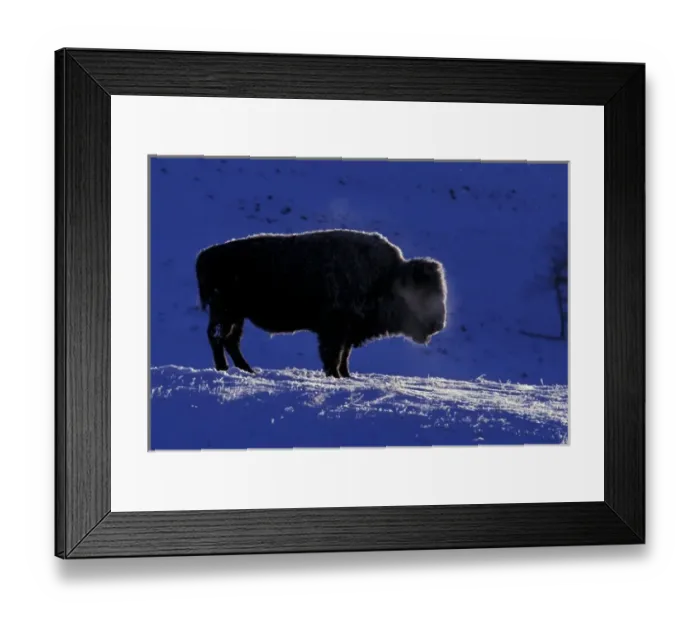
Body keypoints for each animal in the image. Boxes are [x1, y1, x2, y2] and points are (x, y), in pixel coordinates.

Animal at [195, 229, 447, 378]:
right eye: (423, 295)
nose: (438, 324)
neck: (386, 277)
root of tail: (205, 256)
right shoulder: (334, 329)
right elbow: (333, 355)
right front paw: (334, 375)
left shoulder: (348, 332)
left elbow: (344, 355)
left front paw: (345, 375)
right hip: (225, 313)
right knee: (217, 338)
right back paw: (224, 368)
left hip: (236, 315)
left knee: (230, 341)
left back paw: (248, 369)